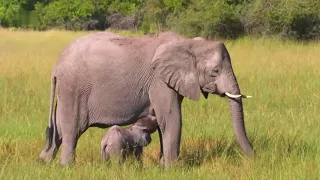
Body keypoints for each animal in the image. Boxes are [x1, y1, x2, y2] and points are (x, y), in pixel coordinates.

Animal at [38, 31, 252, 167]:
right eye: (215, 71)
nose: (254, 155)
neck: (187, 42)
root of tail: (56, 66)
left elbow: (164, 120)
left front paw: (162, 166)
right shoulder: (159, 81)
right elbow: (172, 118)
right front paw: (173, 169)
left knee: (58, 129)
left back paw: (44, 162)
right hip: (74, 89)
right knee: (71, 130)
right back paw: (66, 167)